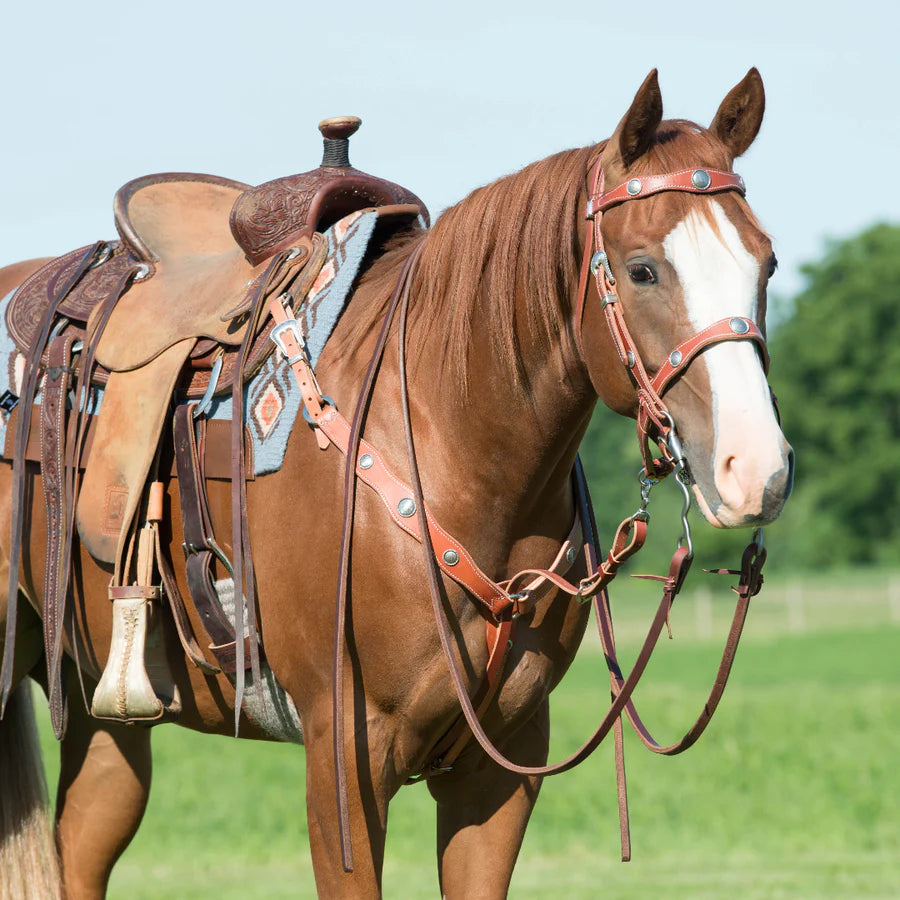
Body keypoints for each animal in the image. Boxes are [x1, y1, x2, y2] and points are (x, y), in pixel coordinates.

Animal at [0, 72, 788, 900]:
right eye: (641, 268)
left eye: (766, 264)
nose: (756, 470)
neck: (449, 452)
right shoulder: (343, 759)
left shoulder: (501, 766)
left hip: (101, 707)